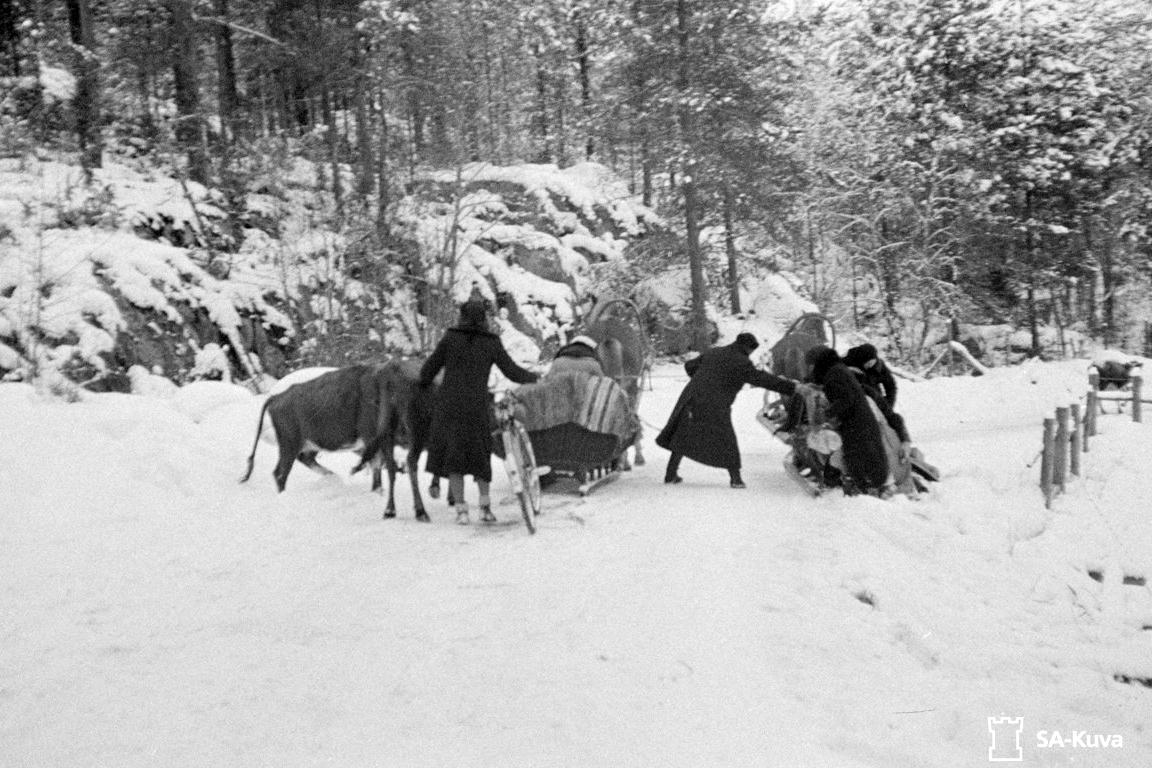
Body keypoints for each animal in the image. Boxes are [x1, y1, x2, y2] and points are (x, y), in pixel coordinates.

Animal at [240, 361, 433, 522]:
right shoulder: (372, 438)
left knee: (304, 460)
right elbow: (377, 466)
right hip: (290, 444)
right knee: (280, 473)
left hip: (307, 445)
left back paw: (332, 477)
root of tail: (275, 398)